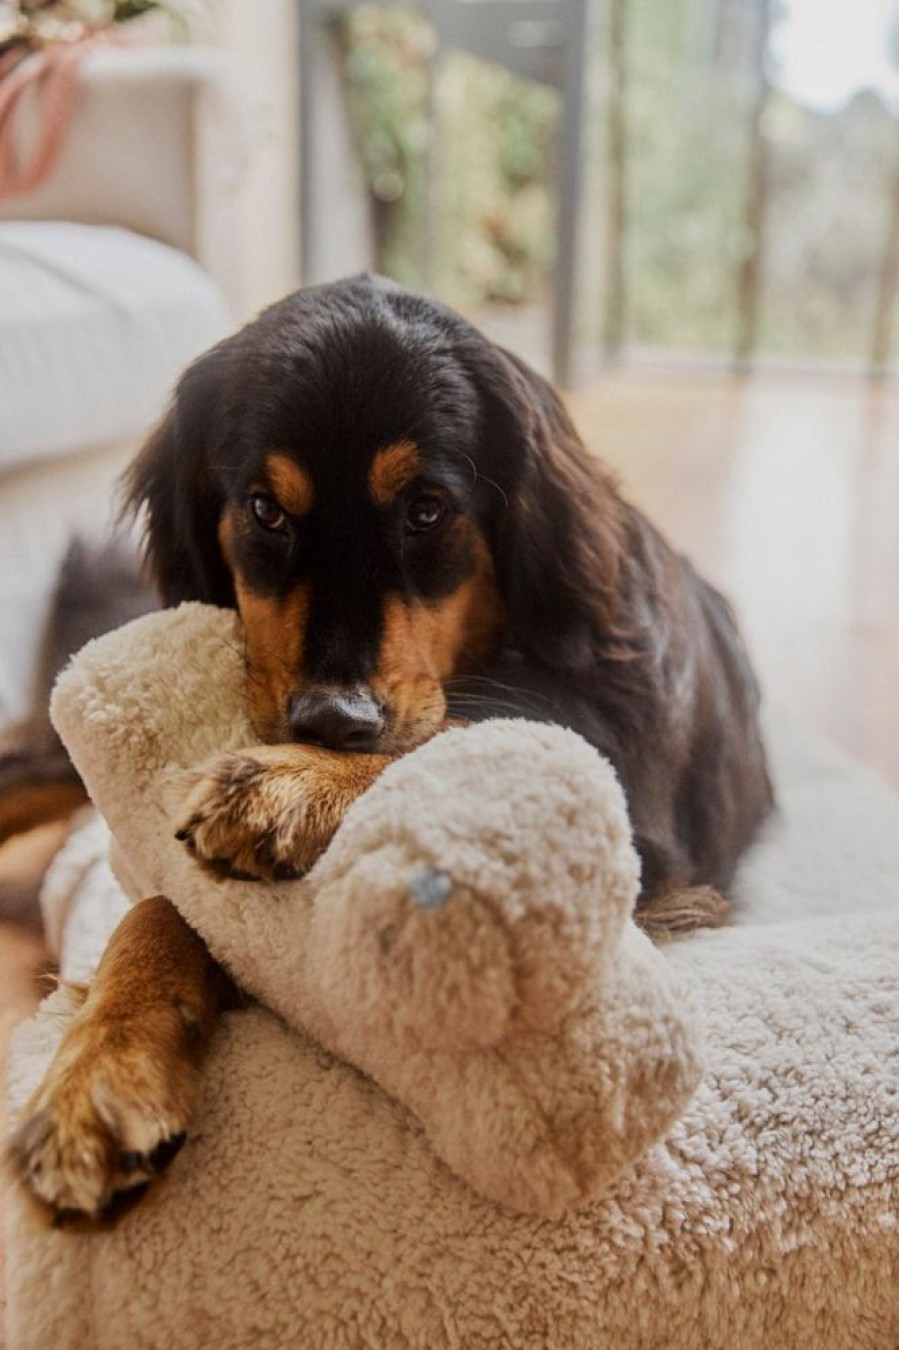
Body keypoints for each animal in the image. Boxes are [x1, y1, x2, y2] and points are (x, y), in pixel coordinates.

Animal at [5, 274, 772, 1225]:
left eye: (426, 510)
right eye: (264, 510)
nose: (333, 719)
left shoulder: (648, 835)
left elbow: (440, 737)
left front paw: (295, 787)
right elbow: (161, 908)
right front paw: (103, 1064)